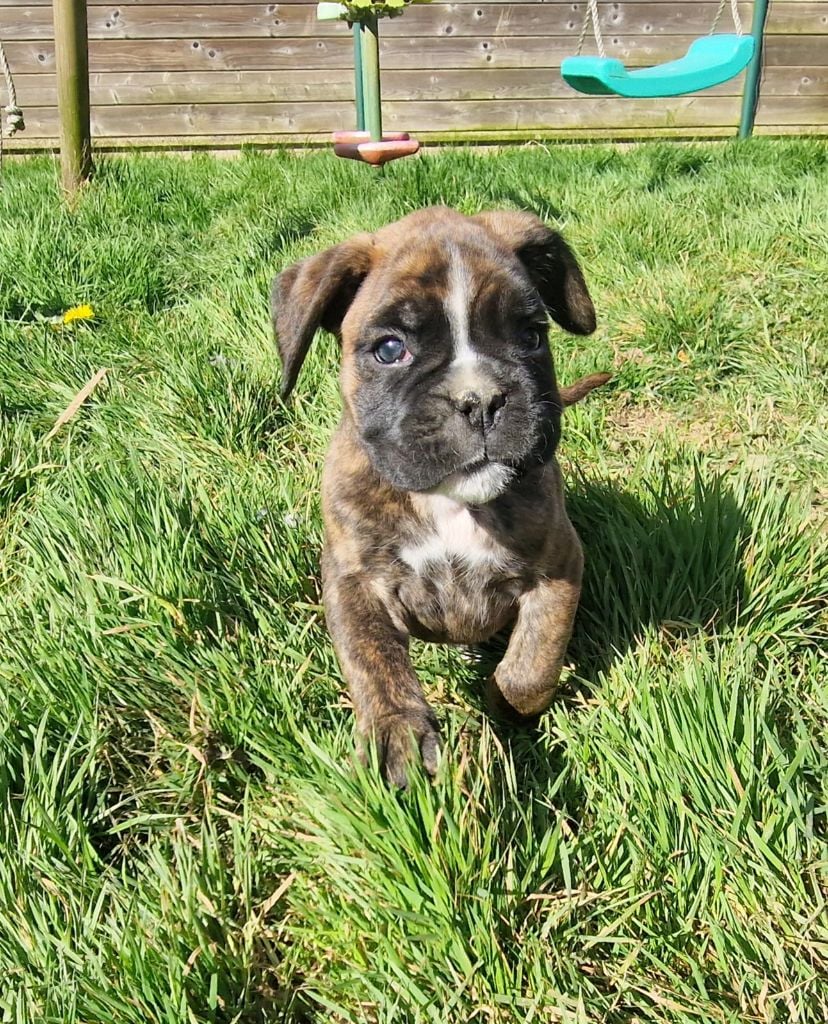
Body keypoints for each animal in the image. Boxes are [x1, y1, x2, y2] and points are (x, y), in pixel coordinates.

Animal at [272, 207, 608, 787]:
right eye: (389, 349)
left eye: (532, 336)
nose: (480, 400)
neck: (448, 502)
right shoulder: (354, 580)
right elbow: (372, 658)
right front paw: (396, 730)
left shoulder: (559, 567)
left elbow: (532, 665)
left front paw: (502, 702)